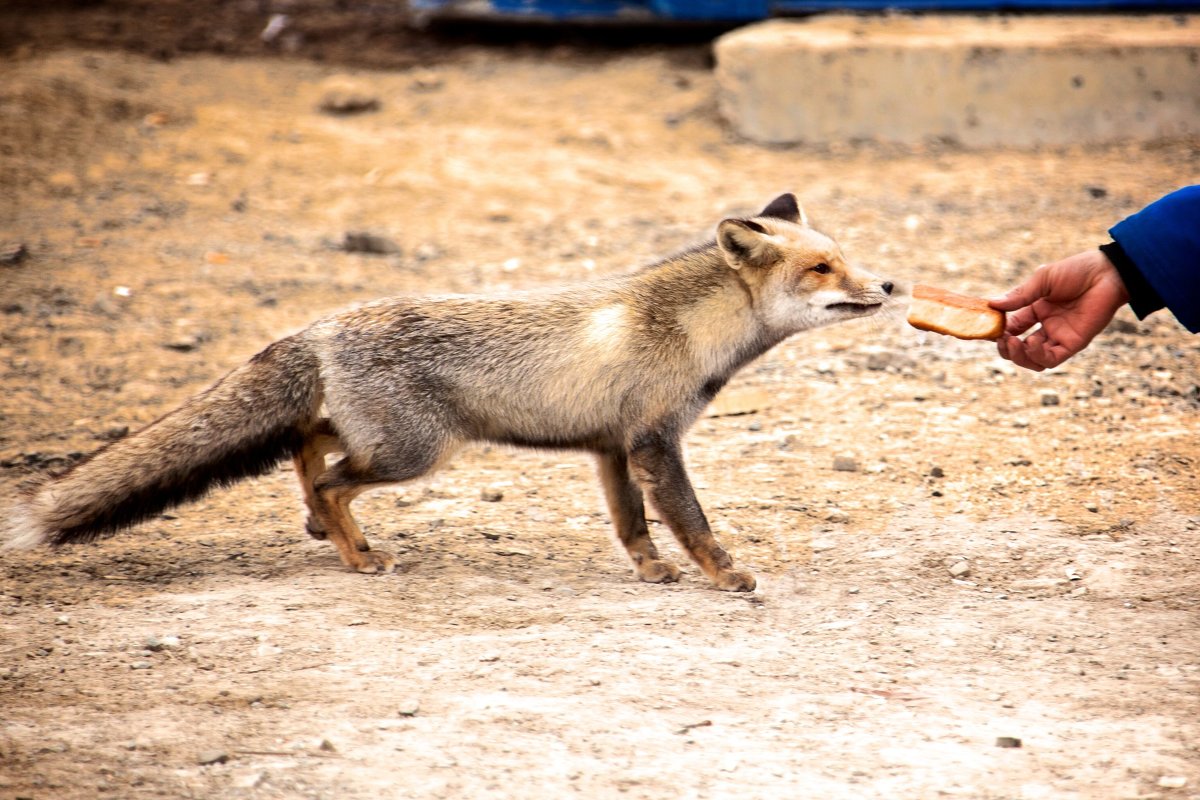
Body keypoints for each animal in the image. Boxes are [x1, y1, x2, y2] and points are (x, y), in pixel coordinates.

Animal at [4, 194, 897, 592]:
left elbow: (634, 527)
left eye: (847, 259)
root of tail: (321, 323)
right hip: (416, 453)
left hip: (392, 441)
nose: (888, 284)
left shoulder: (611, 449)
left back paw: (323, 526)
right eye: (822, 269)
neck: (687, 328)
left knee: (307, 443)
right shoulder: (653, 443)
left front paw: (651, 571)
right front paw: (724, 574)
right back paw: (355, 552)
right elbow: (692, 522)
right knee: (331, 476)